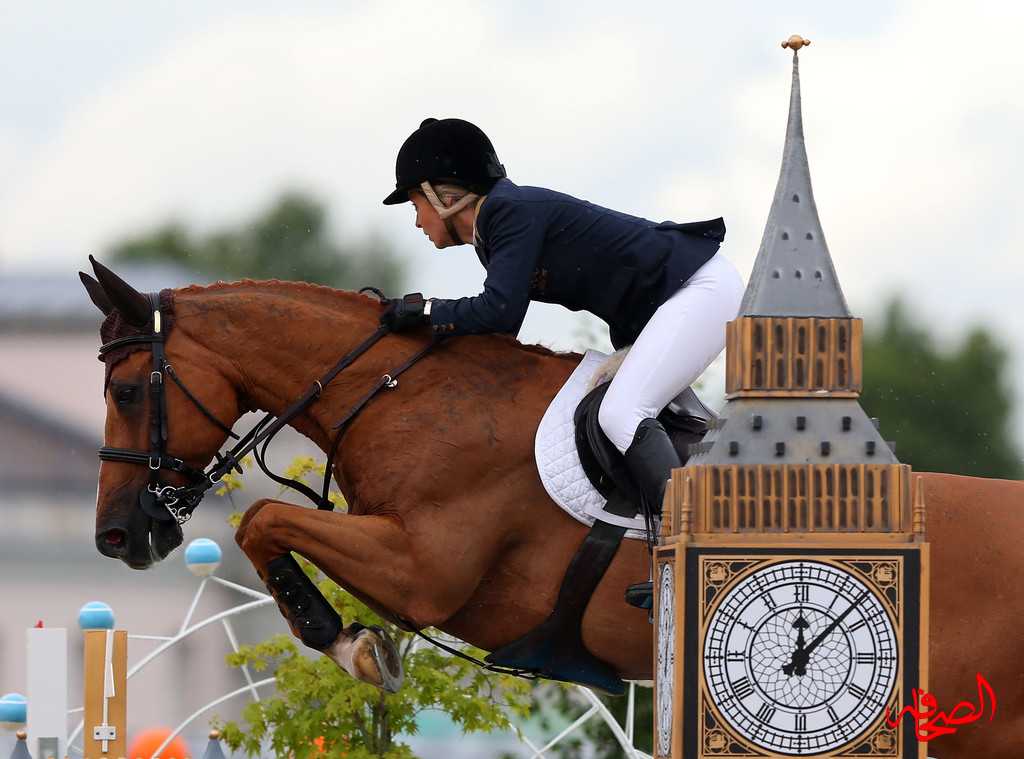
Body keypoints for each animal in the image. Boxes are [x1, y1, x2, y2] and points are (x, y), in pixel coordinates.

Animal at [81, 262, 1024, 758]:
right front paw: (356, 642)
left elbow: (262, 522)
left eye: (126, 391)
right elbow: (266, 526)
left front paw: (350, 644)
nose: (119, 534)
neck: (397, 393)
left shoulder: (423, 572)